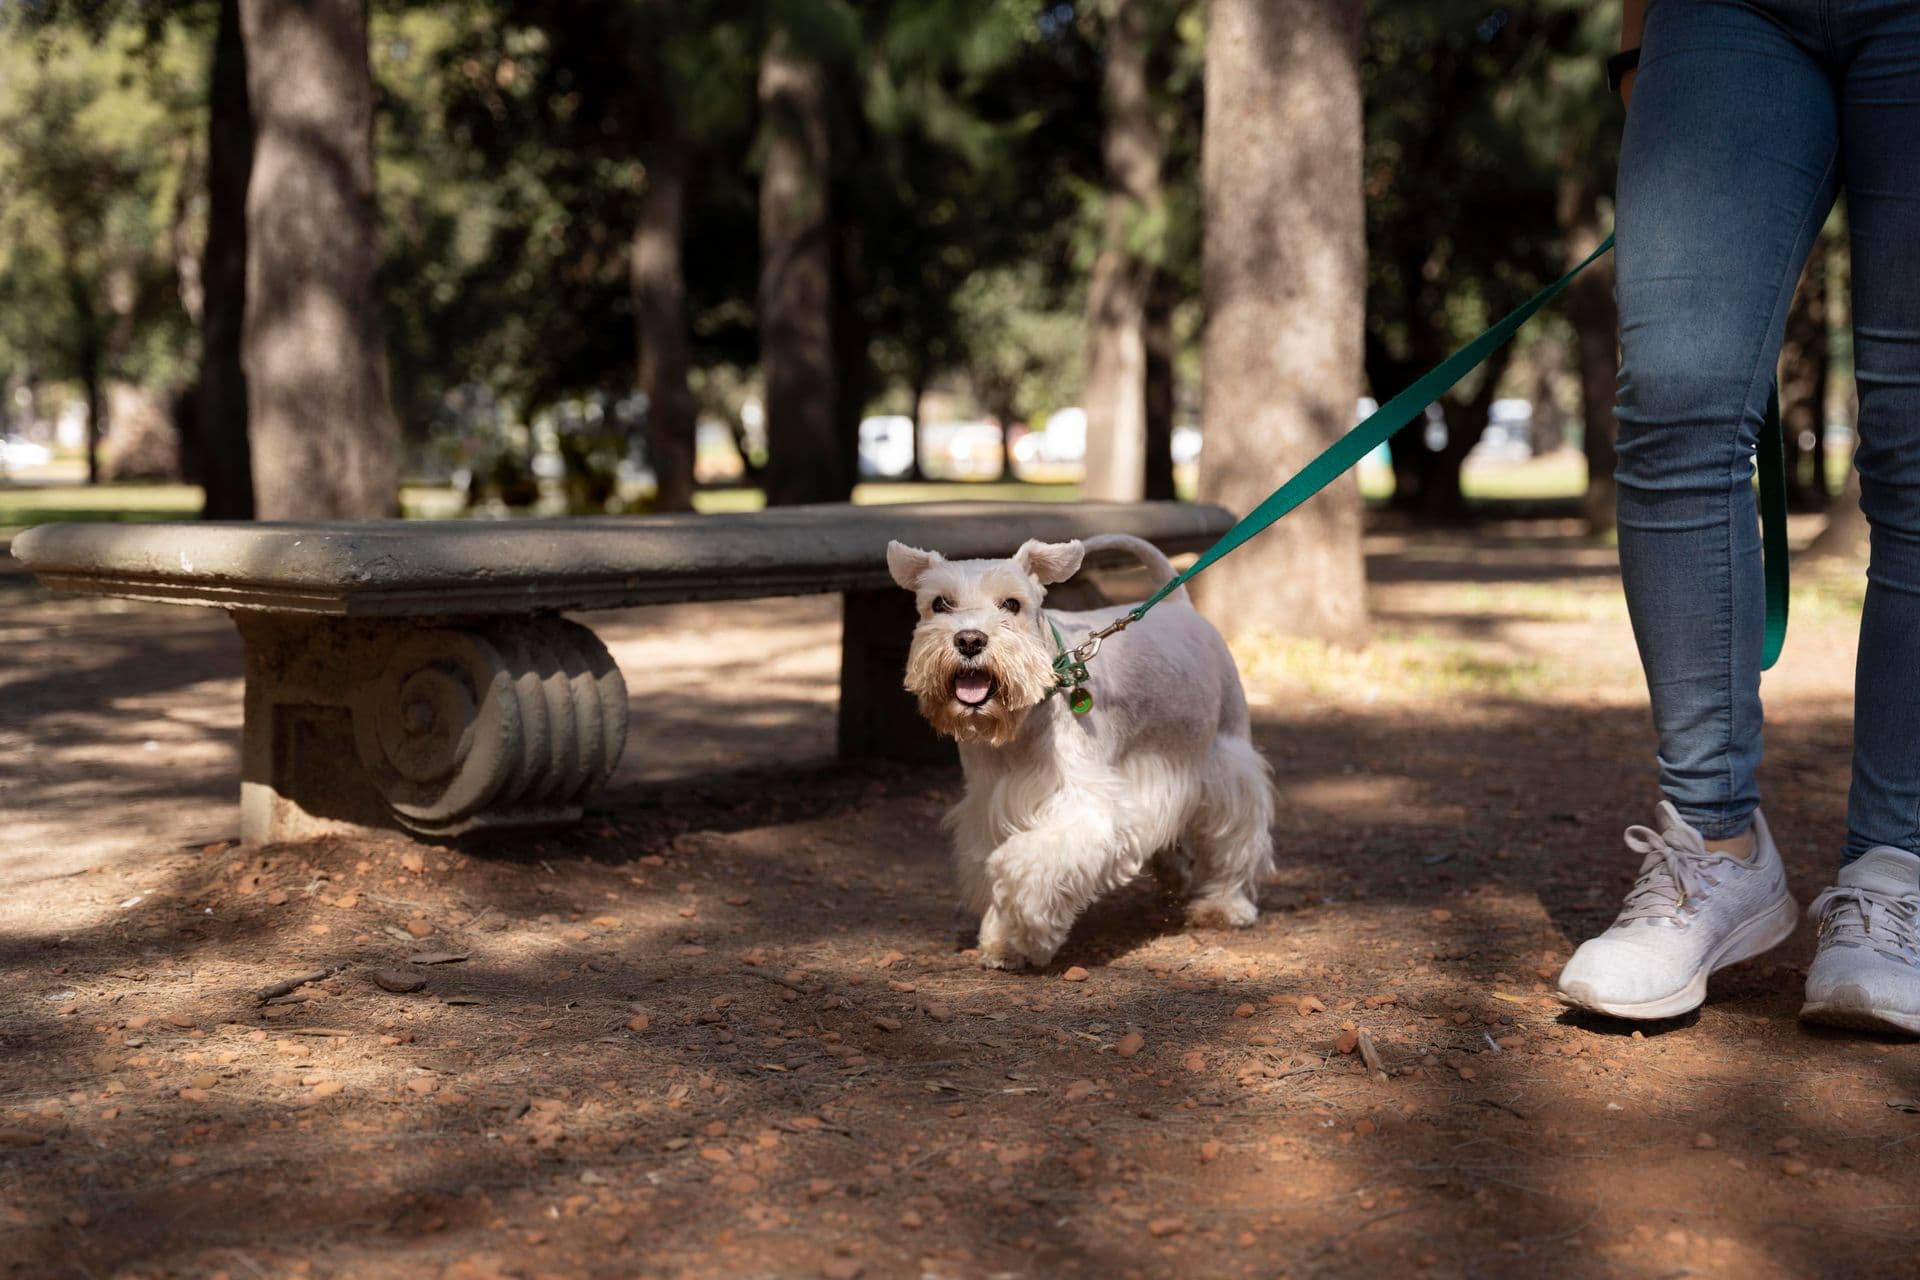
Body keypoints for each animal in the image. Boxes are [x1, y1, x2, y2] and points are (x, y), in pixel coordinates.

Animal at [887, 533, 1274, 971]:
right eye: (940, 603)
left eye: (1011, 604)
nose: (970, 640)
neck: (1030, 711)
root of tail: (1181, 606)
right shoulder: (988, 807)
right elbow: (993, 866)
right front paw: (1003, 944)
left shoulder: (1084, 809)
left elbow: (1019, 865)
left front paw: (1028, 935)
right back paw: (1174, 870)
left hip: (1226, 755)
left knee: (1236, 834)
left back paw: (1225, 905)